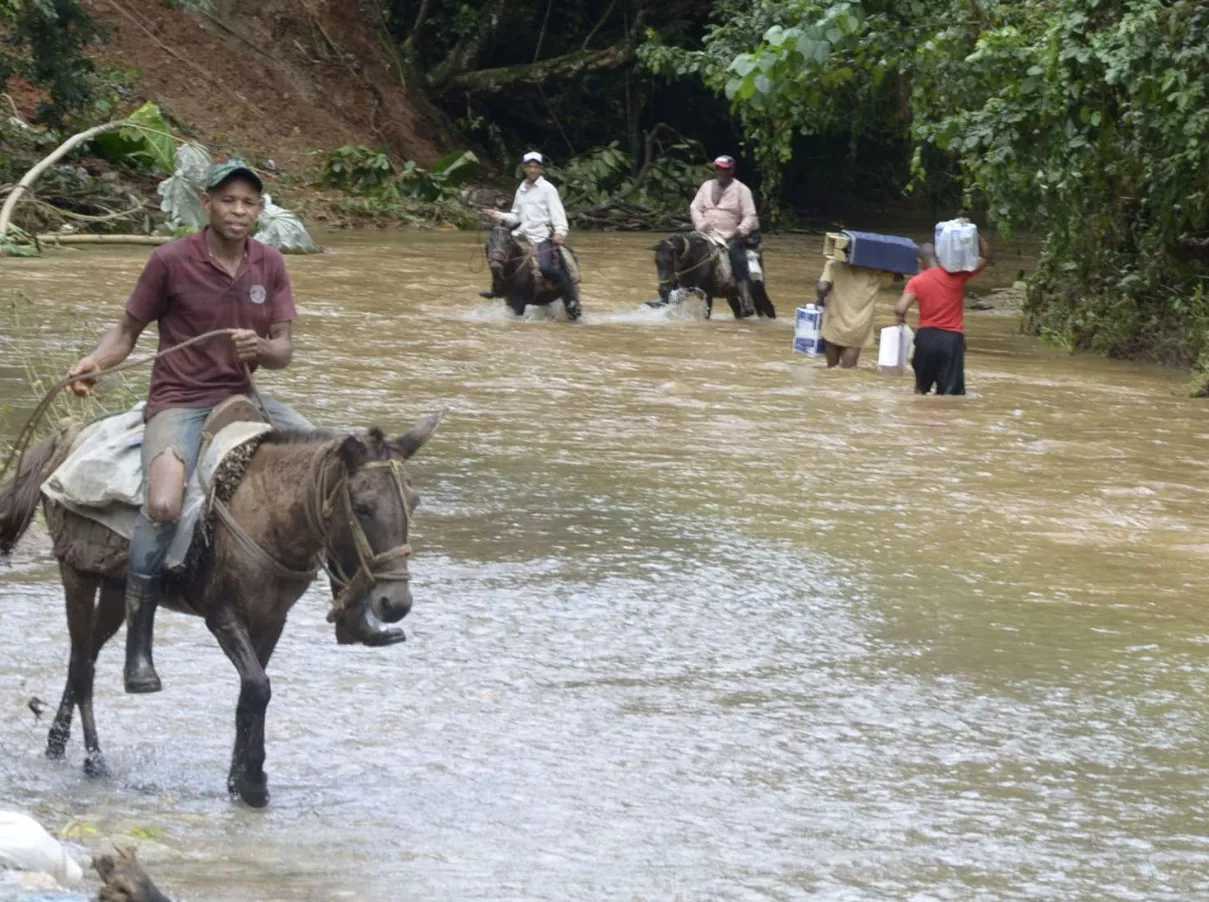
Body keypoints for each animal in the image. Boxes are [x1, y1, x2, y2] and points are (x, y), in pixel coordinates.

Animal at [0, 411, 442, 802]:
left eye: (414, 502)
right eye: (362, 506)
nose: (395, 604)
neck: (270, 515)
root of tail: (66, 442)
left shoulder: (272, 620)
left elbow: (249, 694)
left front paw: (238, 780)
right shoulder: (224, 617)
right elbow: (259, 688)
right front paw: (254, 782)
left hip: (112, 587)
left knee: (85, 656)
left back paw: (59, 745)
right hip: (76, 574)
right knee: (82, 665)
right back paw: (94, 759)